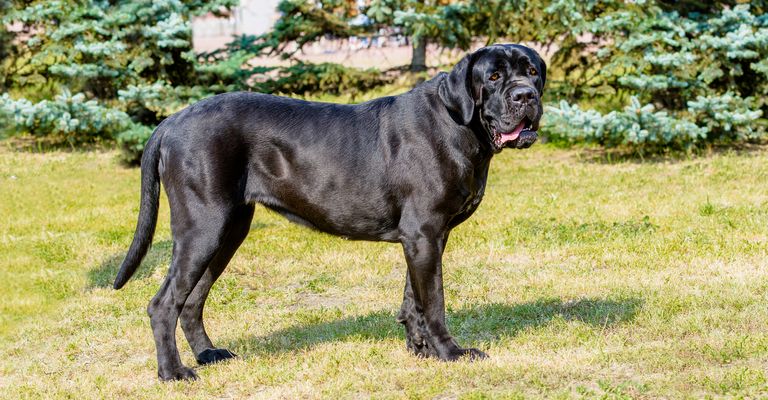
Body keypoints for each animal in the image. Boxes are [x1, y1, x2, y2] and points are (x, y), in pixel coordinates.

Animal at [115, 43, 544, 382]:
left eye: (533, 72)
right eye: (493, 76)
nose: (525, 96)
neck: (459, 123)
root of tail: (171, 121)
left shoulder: (422, 236)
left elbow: (413, 298)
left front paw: (420, 350)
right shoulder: (425, 232)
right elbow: (434, 301)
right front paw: (450, 353)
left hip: (228, 231)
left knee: (192, 300)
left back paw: (209, 355)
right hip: (203, 228)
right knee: (164, 304)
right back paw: (173, 372)